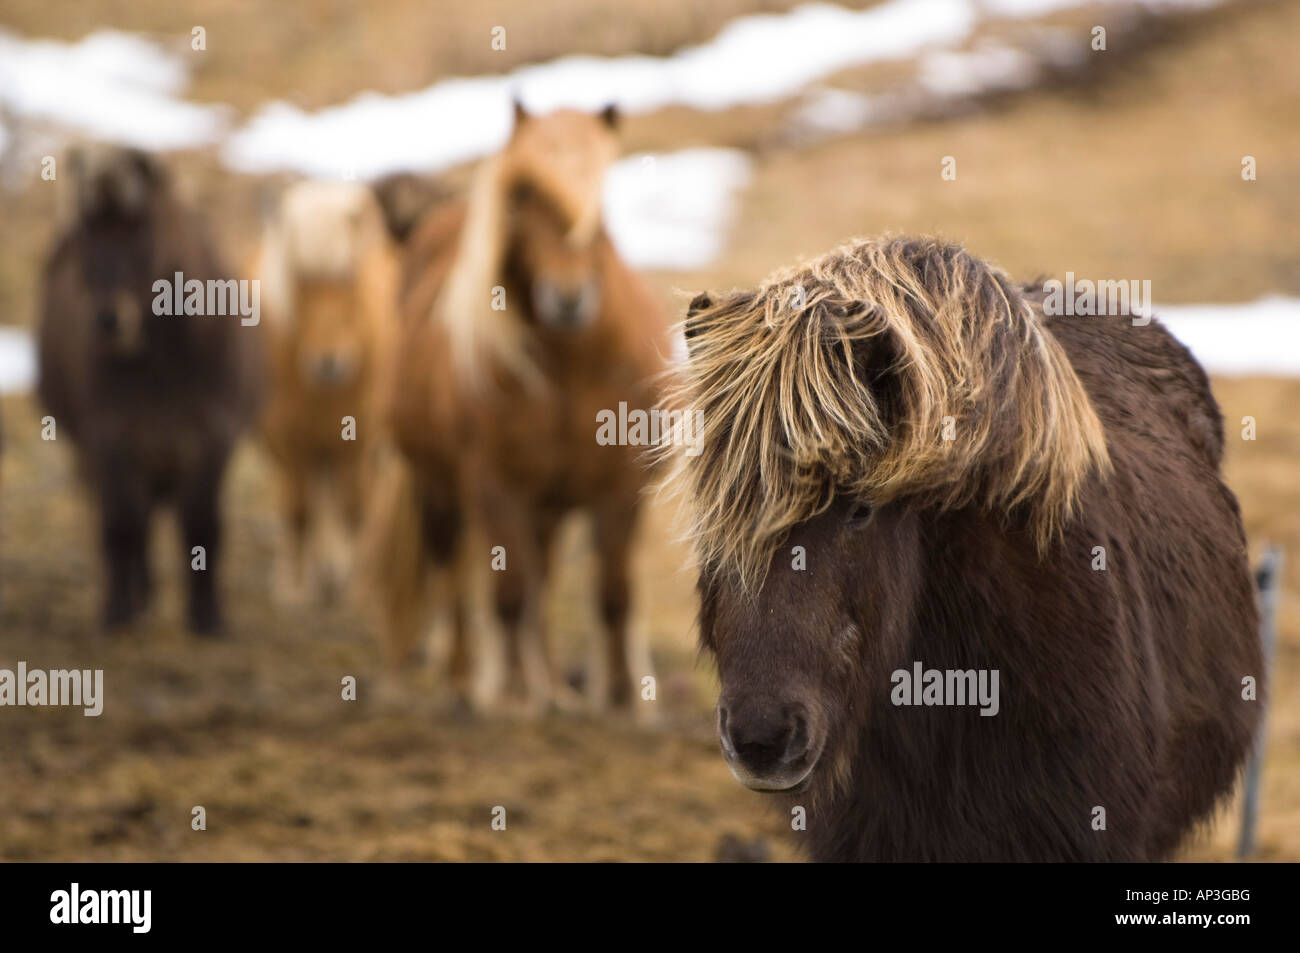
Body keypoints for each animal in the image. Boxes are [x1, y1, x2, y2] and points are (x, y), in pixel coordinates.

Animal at [364, 105, 670, 712]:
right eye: (526, 194)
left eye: (600, 192)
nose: (569, 299)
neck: (574, 365)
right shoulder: (495, 485)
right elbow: (506, 597)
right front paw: (508, 700)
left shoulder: (617, 488)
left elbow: (613, 595)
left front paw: (619, 702)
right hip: (440, 489)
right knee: (455, 581)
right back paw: (465, 684)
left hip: (546, 508)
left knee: (542, 583)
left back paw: (551, 686)